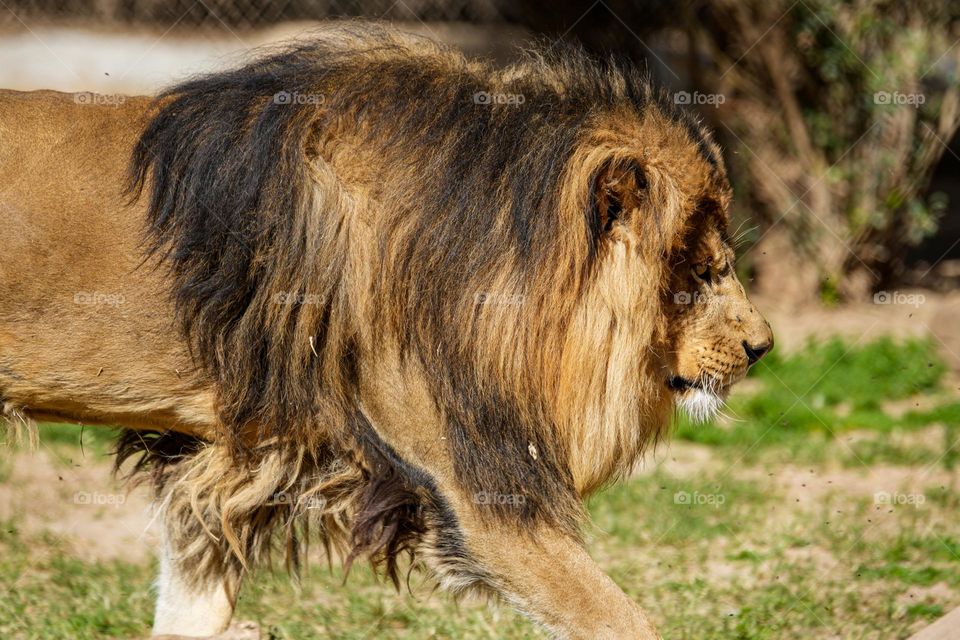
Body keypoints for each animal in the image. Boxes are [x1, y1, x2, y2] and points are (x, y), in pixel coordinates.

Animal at [0, 25, 772, 639]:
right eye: (703, 272)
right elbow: (625, 620)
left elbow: (192, 608)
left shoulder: (224, 461)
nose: (763, 348)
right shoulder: (481, 496)